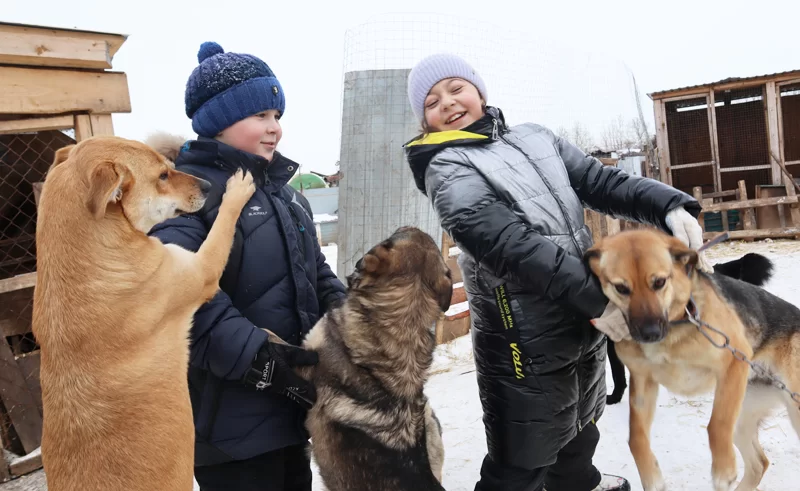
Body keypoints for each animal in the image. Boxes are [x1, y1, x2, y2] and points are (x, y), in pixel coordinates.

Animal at [584, 231, 800, 491]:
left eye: (659, 282)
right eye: (621, 288)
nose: (650, 333)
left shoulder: (734, 359)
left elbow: (716, 424)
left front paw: (723, 470)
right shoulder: (643, 382)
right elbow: (636, 438)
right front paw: (651, 476)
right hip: (743, 416)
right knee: (759, 463)